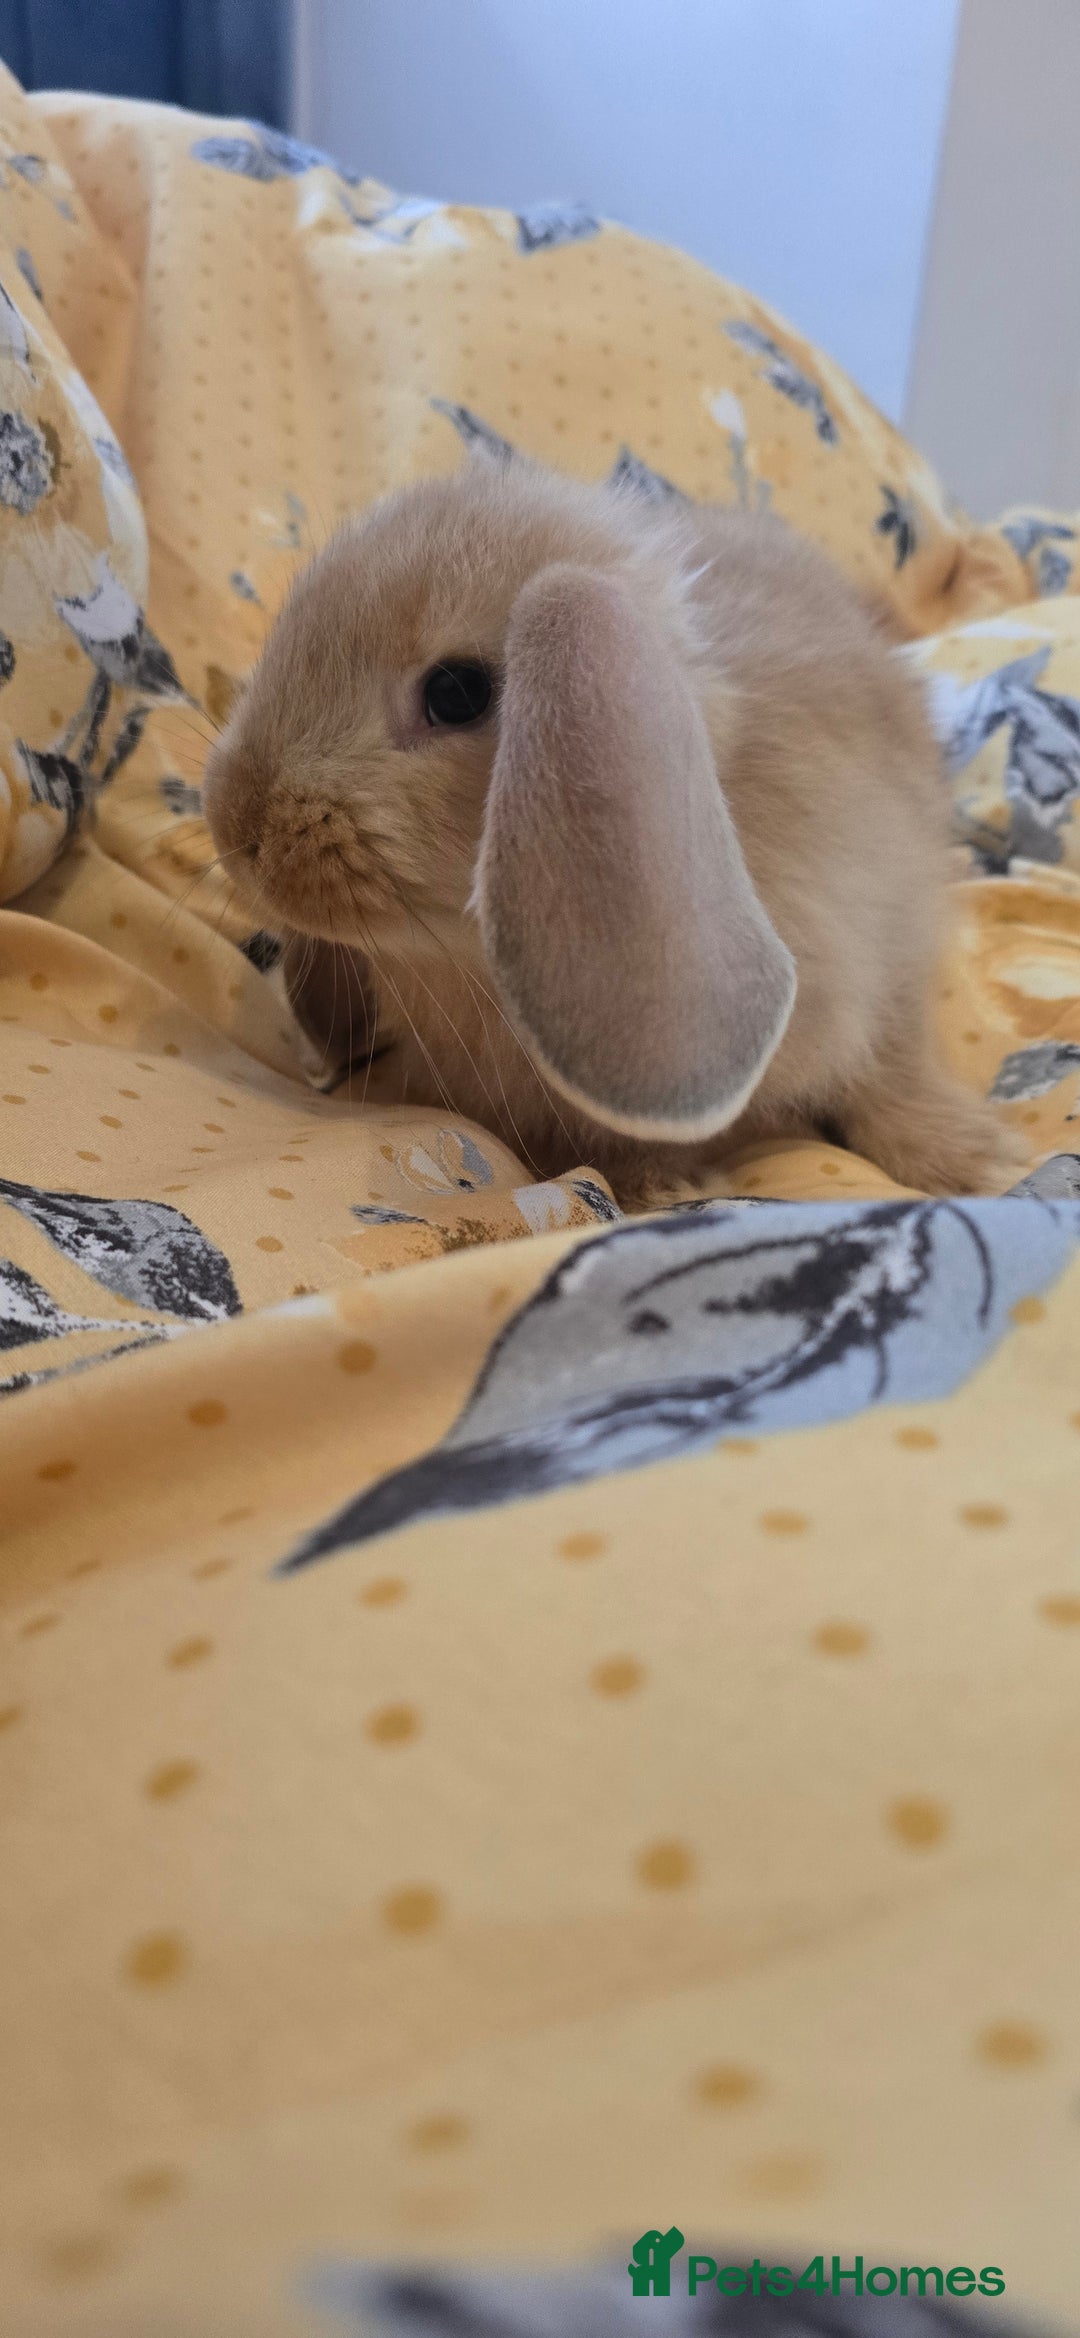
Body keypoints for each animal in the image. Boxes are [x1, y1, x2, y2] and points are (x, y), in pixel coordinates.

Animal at [202, 449, 1018, 1208]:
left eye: (457, 692)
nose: (234, 826)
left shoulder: (892, 942)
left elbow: (892, 1066)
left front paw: (972, 1161)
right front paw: (647, 1183)